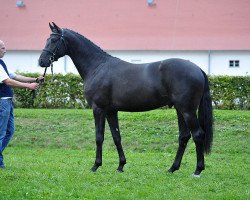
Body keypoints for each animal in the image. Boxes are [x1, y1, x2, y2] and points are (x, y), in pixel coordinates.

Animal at [38, 22, 213, 176]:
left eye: (53, 40)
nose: (41, 61)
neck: (97, 66)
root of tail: (197, 69)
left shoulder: (98, 109)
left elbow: (99, 137)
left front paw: (96, 166)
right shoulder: (111, 111)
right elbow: (116, 137)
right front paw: (121, 165)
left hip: (187, 110)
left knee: (198, 135)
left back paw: (197, 170)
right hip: (180, 110)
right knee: (184, 136)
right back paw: (172, 168)